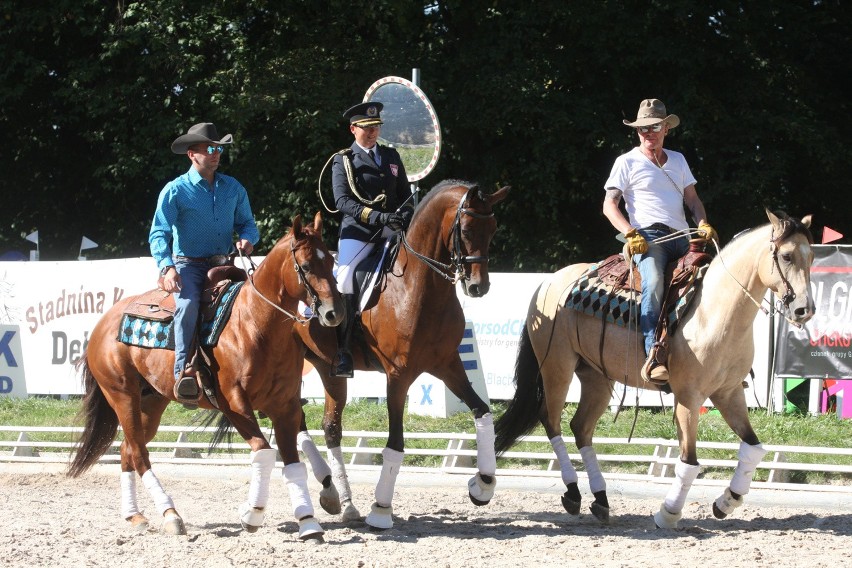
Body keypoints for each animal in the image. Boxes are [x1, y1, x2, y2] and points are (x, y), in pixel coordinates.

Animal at [67, 213, 342, 540]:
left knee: (127, 450)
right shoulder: (233, 403)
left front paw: (308, 522)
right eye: (307, 265)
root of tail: (104, 323)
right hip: (122, 396)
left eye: (332, 261)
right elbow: (263, 453)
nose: (334, 312)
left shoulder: (285, 406)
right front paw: (252, 513)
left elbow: (293, 463)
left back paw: (135, 516)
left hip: (151, 402)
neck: (254, 324)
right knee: (139, 453)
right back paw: (171, 515)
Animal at [294, 180, 506, 532]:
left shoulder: (448, 365)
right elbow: (395, 443)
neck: (418, 287)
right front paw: (381, 509)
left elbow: (482, 412)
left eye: (493, 229)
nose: (479, 286)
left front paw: (483, 485)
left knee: (329, 427)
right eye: (465, 228)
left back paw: (343, 502)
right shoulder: (398, 374)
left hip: (328, 370)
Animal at [492, 211, 812, 532]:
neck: (714, 311)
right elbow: (689, 462)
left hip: (596, 377)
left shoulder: (728, 393)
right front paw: (668, 513)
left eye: (810, 257)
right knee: (552, 421)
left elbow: (753, 448)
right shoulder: (688, 397)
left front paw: (726, 502)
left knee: (581, 428)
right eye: (786, 255)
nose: (804, 310)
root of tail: (549, 282)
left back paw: (601, 499)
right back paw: (572, 493)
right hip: (557, 367)